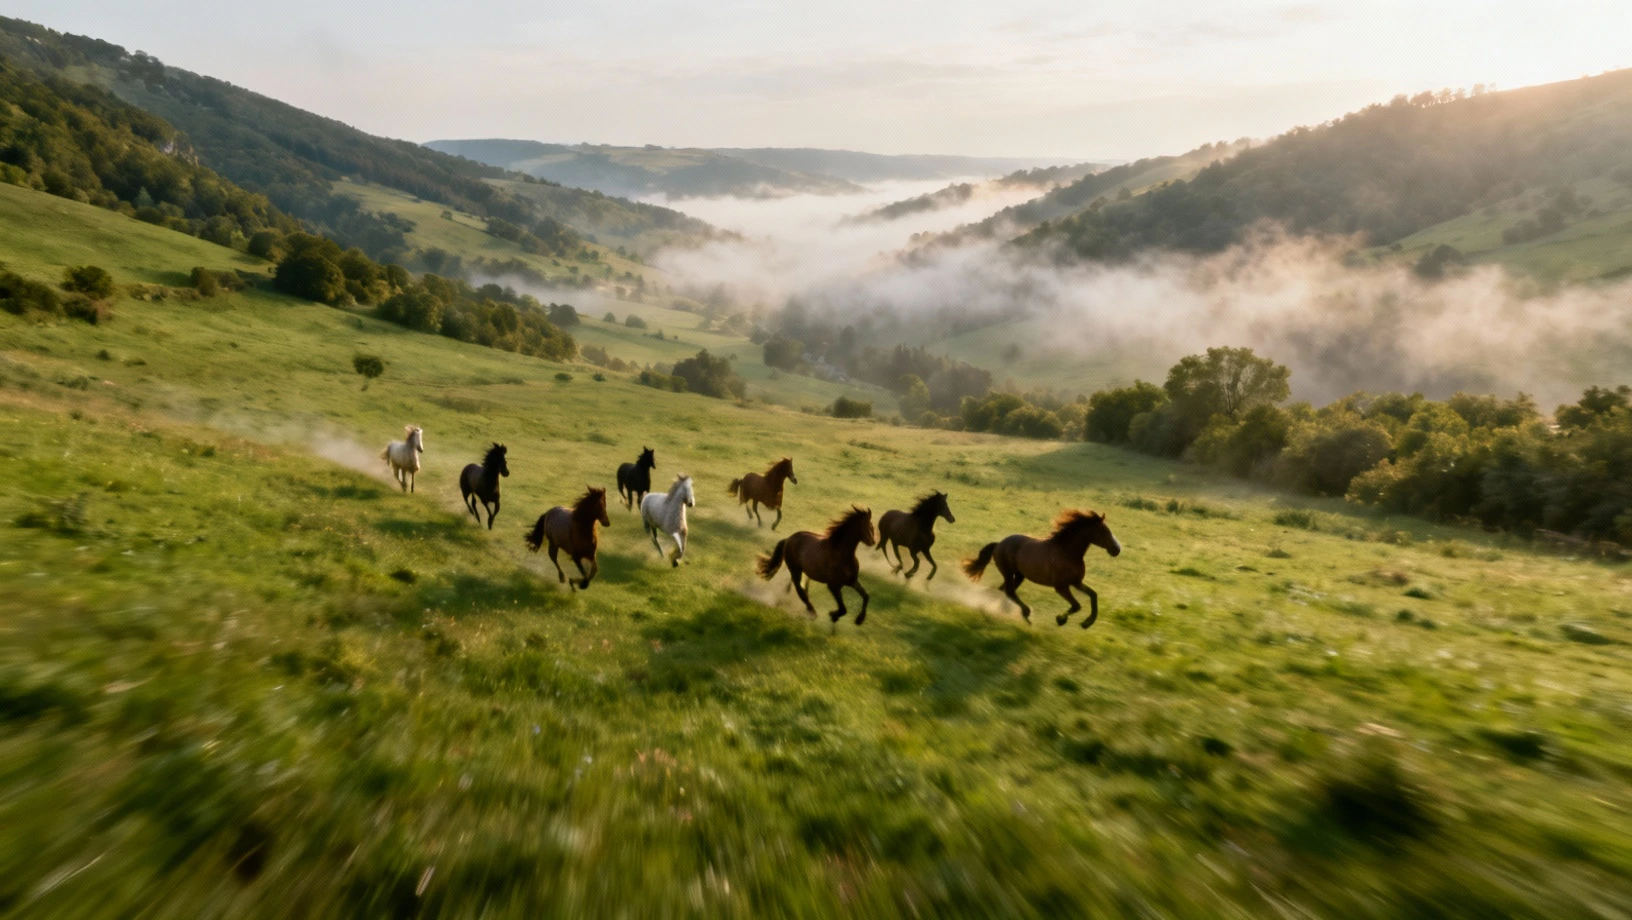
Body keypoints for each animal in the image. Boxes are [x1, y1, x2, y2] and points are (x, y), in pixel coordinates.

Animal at [963, 511, 1121, 628]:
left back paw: (1001, 610)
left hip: (1019, 575)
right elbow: (1076, 606)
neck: (1067, 553)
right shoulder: (1061, 587)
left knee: (1004, 590)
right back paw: (1025, 613)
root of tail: (999, 544)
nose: (1117, 550)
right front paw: (1061, 619)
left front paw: (1087, 623)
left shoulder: (1076, 582)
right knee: (1009, 591)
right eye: (1103, 532)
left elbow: (1093, 595)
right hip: (1008, 572)